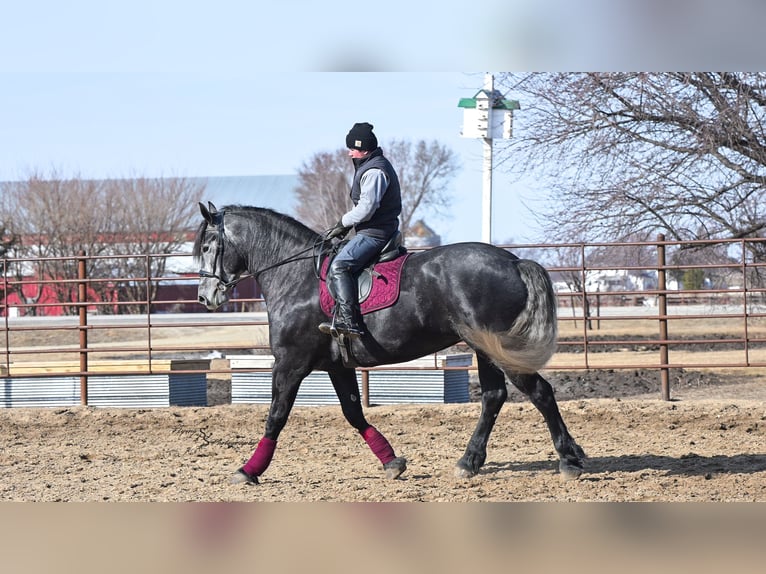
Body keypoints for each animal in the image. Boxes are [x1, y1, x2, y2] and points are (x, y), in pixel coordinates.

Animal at [194, 202, 586, 485]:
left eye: (210, 246)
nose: (204, 297)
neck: (296, 276)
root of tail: (514, 260)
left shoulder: (290, 362)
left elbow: (276, 416)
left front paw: (249, 470)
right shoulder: (336, 366)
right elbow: (353, 413)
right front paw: (392, 461)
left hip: (500, 350)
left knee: (539, 392)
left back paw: (568, 460)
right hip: (485, 350)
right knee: (494, 396)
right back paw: (469, 462)